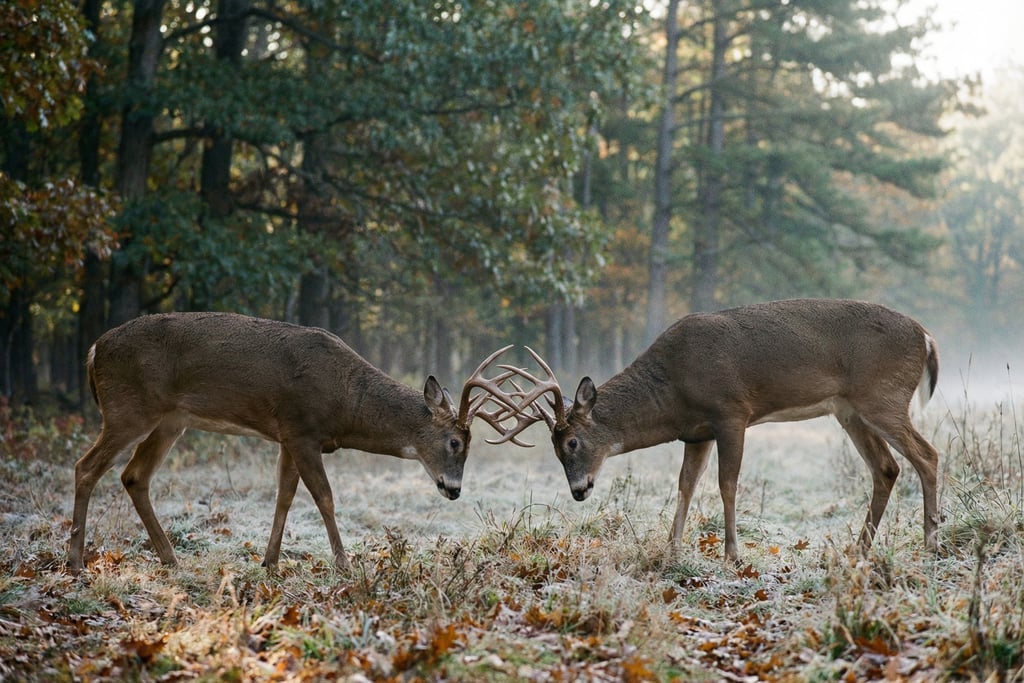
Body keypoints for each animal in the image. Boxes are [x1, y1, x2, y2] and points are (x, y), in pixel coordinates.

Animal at [67, 311, 526, 573]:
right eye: (455, 443)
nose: (454, 489)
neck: (346, 401)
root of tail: (93, 350)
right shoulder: (302, 430)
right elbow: (324, 497)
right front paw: (344, 563)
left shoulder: (286, 436)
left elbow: (284, 496)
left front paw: (269, 562)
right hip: (128, 409)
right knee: (85, 467)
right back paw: (74, 563)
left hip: (170, 420)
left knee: (134, 477)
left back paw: (171, 558)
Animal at [499, 299, 941, 564]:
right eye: (555, 449)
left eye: (572, 442)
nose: (578, 490)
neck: (673, 388)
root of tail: (926, 336)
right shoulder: (697, 433)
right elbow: (685, 486)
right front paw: (673, 550)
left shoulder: (731, 412)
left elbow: (727, 484)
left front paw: (732, 554)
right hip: (850, 410)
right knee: (886, 468)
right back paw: (858, 548)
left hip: (882, 397)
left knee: (927, 455)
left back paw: (930, 542)